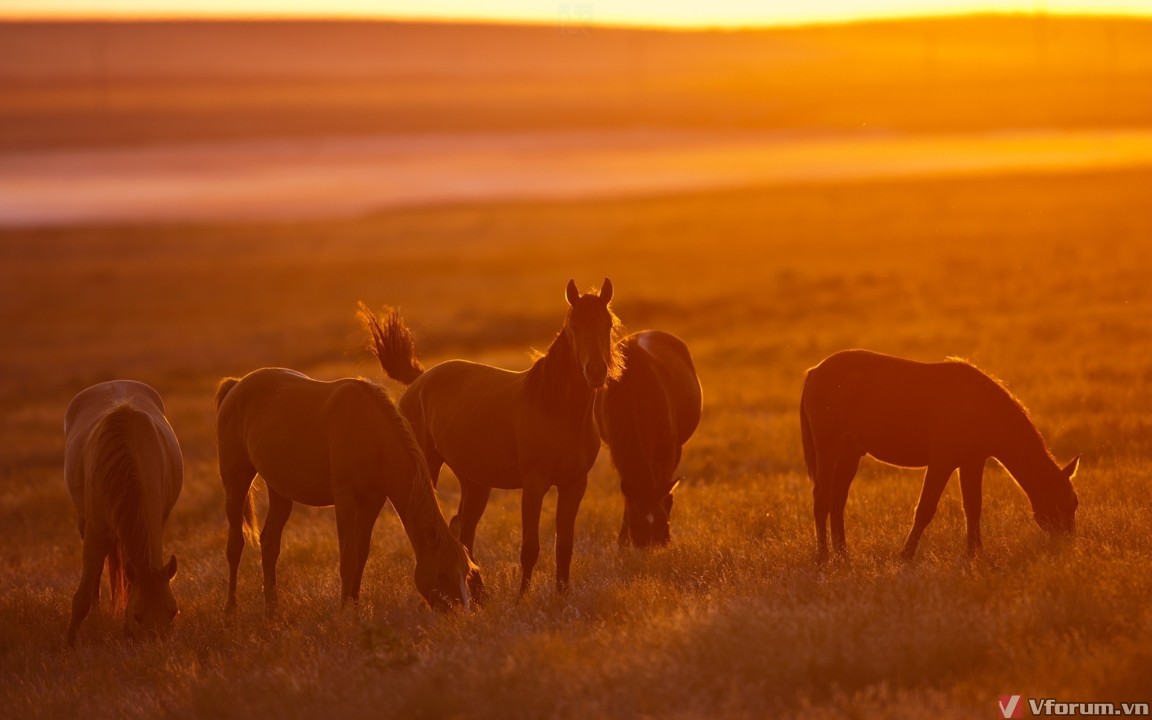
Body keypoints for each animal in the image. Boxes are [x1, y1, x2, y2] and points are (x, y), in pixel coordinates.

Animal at [63, 380, 182, 645]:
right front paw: (69, 644)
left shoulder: (156, 520)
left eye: (173, 611)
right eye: (138, 616)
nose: (157, 645)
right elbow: (82, 595)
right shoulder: (95, 530)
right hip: (85, 524)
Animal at [215, 370, 481, 612]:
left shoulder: (372, 504)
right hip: (236, 482)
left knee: (270, 543)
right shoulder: (345, 502)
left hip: (280, 490)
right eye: (442, 573)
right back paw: (230, 608)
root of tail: (236, 385)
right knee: (235, 544)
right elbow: (348, 557)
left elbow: (361, 555)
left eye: (466, 571)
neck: (372, 436)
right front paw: (344, 611)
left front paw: (354, 604)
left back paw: (272, 608)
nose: (460, 611)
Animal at [364, 277, 626, 594]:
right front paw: (522, 598)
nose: (596, 372)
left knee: (463, 530)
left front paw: (561, 597)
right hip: (430, 467)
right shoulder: (534, 484)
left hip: (475, 482)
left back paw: (480, 593)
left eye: (608, 324)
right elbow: (530, 547)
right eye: (574, 325)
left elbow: (564, 546)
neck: (557, 411)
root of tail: (420, 379)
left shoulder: (574, 484)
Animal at [594, 329, 700, 543]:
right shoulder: (617, 449)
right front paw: (622, 541)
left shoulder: (668, 448)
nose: (648, 544)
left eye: (661, 523)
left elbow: (664, 486)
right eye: (636, 525)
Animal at [801, 347, 1078, 562]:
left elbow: (974, 507)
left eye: (1074, 502)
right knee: (822, 497)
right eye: (1064, 502)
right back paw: (823, 556)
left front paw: (974, 554)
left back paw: (842, 554)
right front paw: (906, 555)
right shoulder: (942, 462)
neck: (982, 407)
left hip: (850, 453)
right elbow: (926, 508)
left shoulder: (972, 462)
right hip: (829, 448)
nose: (1068, 545)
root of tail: (815, 371)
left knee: (837, 499)